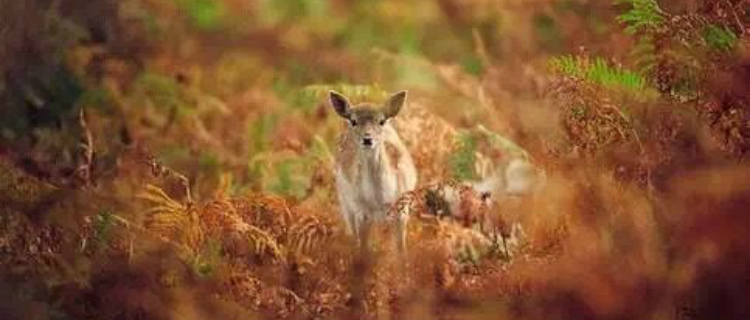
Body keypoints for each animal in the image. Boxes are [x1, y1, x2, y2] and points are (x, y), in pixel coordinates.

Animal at [330, 89, 420, 248]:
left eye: (381, 121)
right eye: (353, 121)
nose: (367, 139)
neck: (380, 200)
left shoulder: (402, 211)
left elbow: (401, 249)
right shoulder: (360, 212)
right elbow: (363, 249)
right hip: (345, 203)